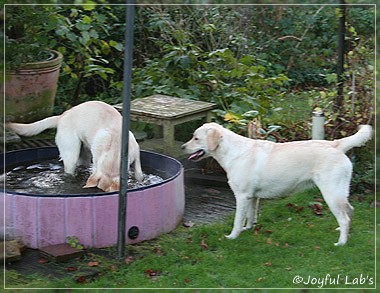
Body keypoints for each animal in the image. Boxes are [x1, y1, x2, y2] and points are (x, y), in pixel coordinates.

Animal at [7, 100, 144, 192]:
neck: (115, 151)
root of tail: (62, 116)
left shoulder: (136, 155)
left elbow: (139, 173)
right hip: (71, 154)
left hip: (84, 154)